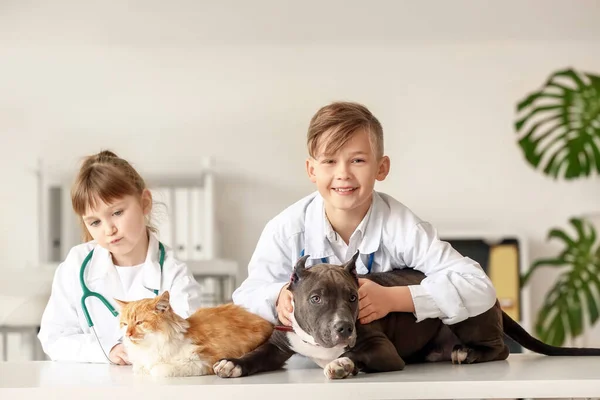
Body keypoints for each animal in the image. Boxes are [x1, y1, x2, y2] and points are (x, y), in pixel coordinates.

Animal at [114, 292, 272, 376]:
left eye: (139, 323)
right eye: (125, 324)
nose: (128, 334)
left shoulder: (202, 360)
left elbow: (159, 370)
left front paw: (153, 369)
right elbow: (139, 368)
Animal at [213, 252, 600, 380]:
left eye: (353, 297)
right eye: (316, 298)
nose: (343, 328)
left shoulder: (383, 350)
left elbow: (358, 354)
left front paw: (342, 365)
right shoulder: (280, 345)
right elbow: (257, 354)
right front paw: (233, 363)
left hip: (462, 310)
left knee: (499, 347)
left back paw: (467, 352)